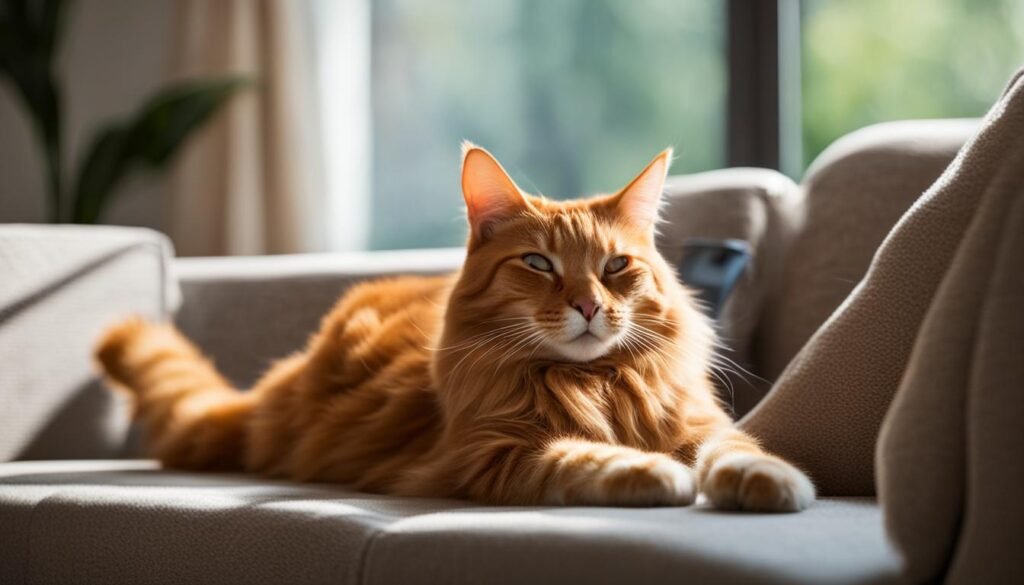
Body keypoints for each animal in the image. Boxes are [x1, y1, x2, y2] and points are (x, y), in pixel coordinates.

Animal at [96, 144, 815, 510]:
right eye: (537, 264)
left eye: (615, 267)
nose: (588, 306)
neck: (592, 382)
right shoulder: (492, 455)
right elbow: (587, 456)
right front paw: (658, 473)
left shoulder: (703, 426)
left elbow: (739, 451)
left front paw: (769, 481)